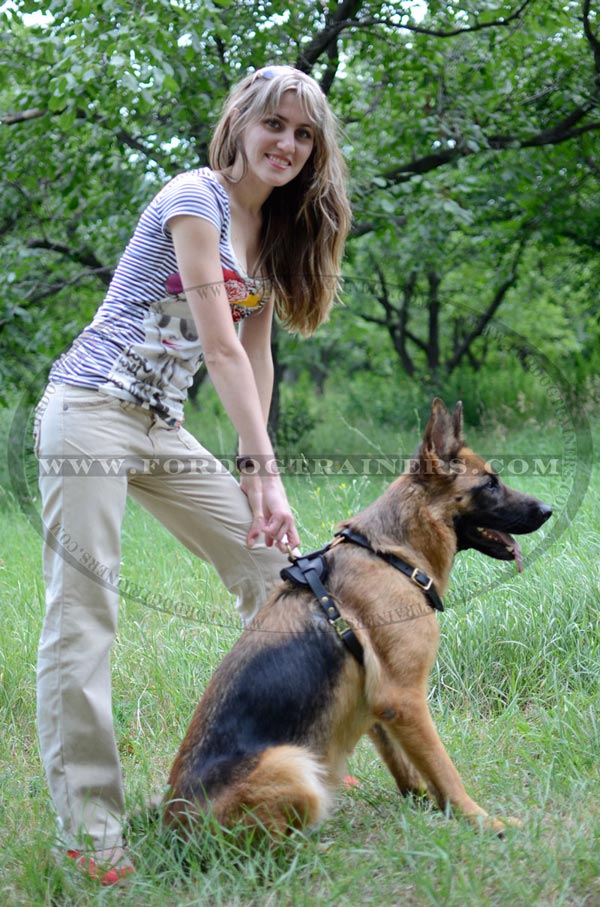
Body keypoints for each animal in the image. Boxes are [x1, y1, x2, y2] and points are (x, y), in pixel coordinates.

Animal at [162, 400, 552, 840]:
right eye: (490, 484)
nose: (548, 510)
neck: (391, 556)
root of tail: (171, 826)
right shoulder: (404, 697)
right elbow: (444, 767)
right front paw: (482, 820)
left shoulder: (379, 704)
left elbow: (409, 765)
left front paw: (426, 804)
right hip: (292, 762)